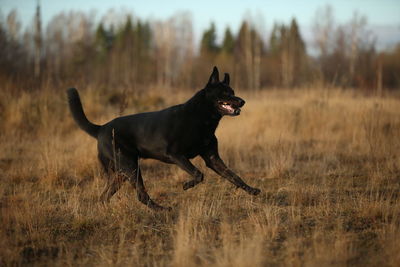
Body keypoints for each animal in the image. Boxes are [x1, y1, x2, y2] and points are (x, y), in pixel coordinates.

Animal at [68, 67, 262, 211]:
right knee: (141, 195)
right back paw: (161, 209)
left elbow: (234, 176)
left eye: (233, 92)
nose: (242, 101)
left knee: (105, 196)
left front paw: (251, 190)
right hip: (131, 167)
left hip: (120, 173)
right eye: (225, 93)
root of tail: (101, 128)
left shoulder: (212, 158)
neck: (200, 118)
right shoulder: (176, 155)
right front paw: (187, 185)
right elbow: (198, 174)